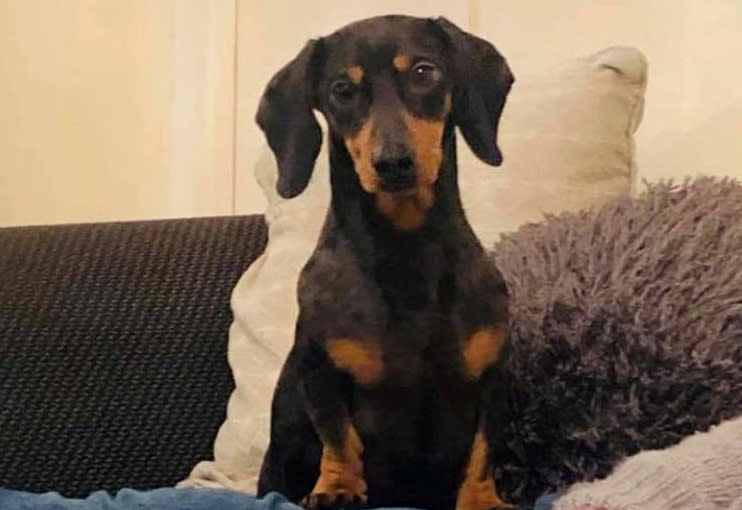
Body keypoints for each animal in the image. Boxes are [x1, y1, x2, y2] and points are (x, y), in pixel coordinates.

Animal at [258, 13, 516, 510]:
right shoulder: (320, 370)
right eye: (342, 89)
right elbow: (338, 434)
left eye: (423, 71)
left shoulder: (492, 376)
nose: (393, 162)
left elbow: (483, 446)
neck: (405, 247)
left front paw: (481, 498)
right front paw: (338, 489)